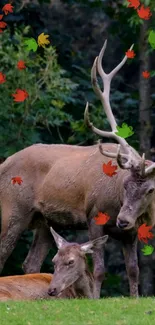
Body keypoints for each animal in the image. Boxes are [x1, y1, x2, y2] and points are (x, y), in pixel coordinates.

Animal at [0, 39, 155, 298]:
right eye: (125, 185)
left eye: (150, 190)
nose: (122, 220)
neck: (115, 202)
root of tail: (4, 163)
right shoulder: (93, 215)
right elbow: (99, 269)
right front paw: (95, 298)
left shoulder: (131, 232)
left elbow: (133, 270)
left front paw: (134, 298)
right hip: (13, 210)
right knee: (3, 253)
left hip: (45, 221)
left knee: (31, 261)